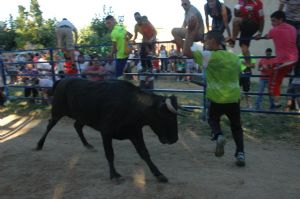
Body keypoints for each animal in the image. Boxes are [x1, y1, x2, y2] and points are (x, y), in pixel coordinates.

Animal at [36, 77, 179, 182]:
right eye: (168, 117)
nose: (175, 139)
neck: (131, 105)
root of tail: (63, 80)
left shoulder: (136, 133)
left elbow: (145, 154)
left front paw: (159, 174)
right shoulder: (106, 133)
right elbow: (110, 154)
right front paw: (114, 174)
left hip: (82, 116)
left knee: (77, 126)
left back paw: (88, 145)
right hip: (57, 112)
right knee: (50, 125)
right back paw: (39, 144)